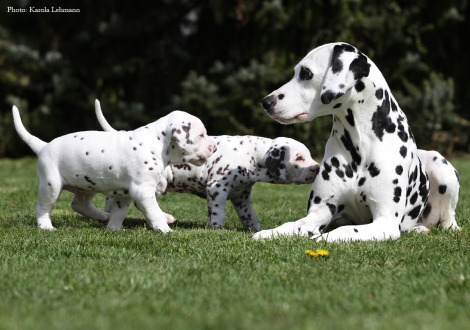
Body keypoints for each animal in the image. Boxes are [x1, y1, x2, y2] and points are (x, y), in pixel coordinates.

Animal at [11, 100, 216, 232]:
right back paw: (46, 226)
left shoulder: (124, 195)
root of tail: (43, 146)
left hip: (87, 185)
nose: (214, 147)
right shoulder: (143, 191)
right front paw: (165, 229)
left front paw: (114, 230)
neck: (157, 144)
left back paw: (103, 216)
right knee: (43, 208)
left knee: (79, 204)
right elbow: (154, 212)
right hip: (51, 186)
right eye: (201, 135)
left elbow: (119, 213)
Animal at [96, 102, 322, 231]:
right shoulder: (217, 188)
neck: (250, 155)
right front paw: (216, 229)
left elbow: (250, 216)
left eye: (309, 156)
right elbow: (217, 213)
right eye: (299, 158)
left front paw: (256, 230)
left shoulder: (242, 197)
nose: (317, 168)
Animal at [255, 42, 460, 241]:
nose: (266, 102)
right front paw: (269, 232)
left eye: (306, 73)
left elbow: (345, 230)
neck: (361, 144)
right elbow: (293, 224)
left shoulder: (385, 222)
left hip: (441, 167)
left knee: (448, 217)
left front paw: (324, 238)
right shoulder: (319, 212)